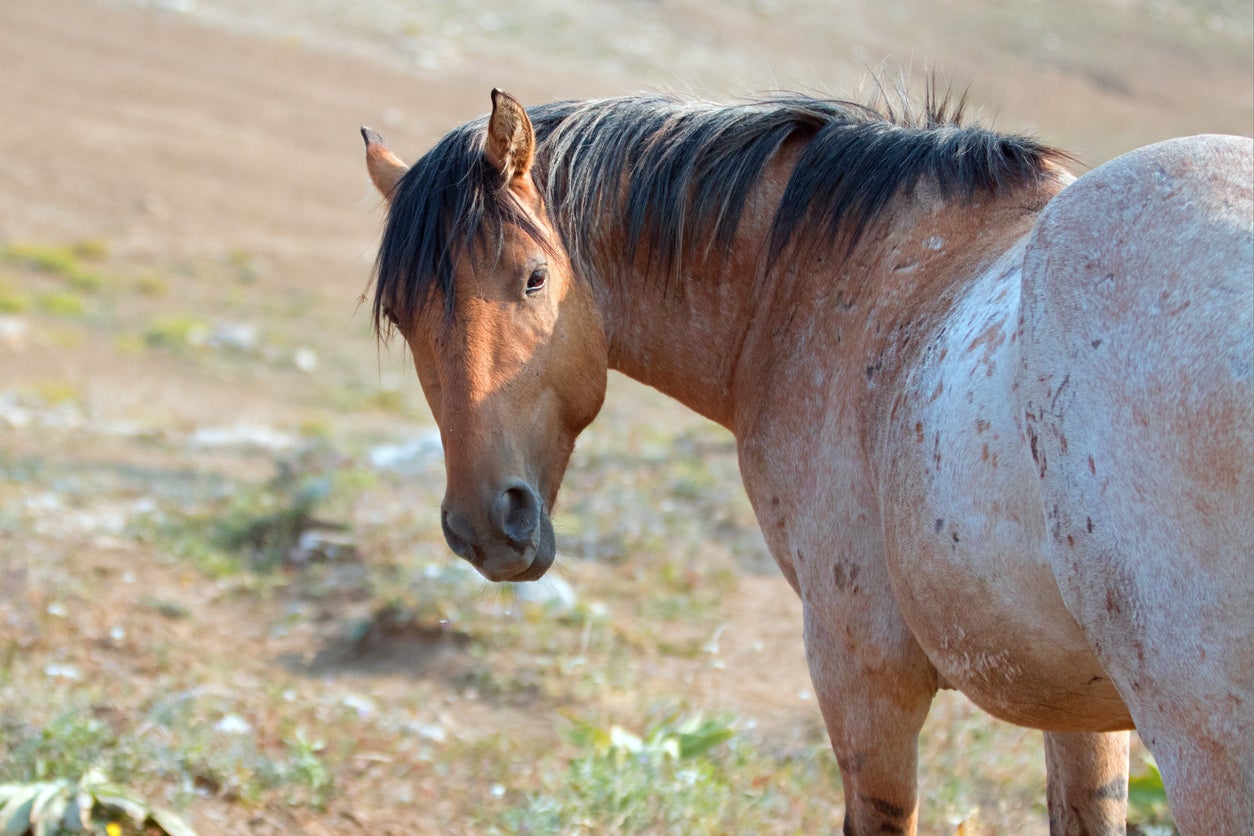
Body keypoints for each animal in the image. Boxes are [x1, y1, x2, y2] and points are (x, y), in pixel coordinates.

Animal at [358, 88, 1248, 832]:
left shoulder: (861, 676)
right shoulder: (1082, 715)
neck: (823, 280)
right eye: (401, 314)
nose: (485, 526)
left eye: (535, 278)